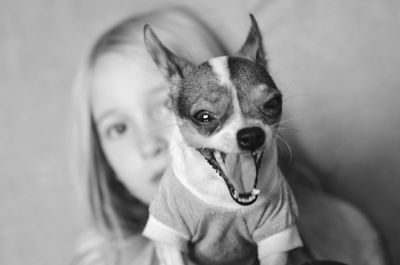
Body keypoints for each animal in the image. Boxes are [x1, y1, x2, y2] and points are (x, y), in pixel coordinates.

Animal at [142, 15, 302, 264]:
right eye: (204, 116)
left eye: (272, 103)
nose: (251, 134)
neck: (225, 199)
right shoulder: (169, 229)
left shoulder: (277, 229)